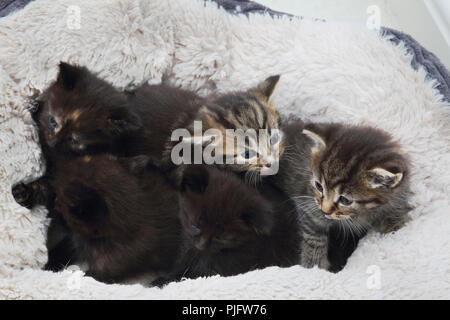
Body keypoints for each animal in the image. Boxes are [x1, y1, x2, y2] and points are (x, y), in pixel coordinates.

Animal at [274, 116, 412, 272]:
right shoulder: (308, 204)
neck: (363, 212)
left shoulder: (398, 195)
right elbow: (314, 236)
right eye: (319, 186)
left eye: (345, 200)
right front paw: (314, 265)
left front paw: (395, 227)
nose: (324, 210)